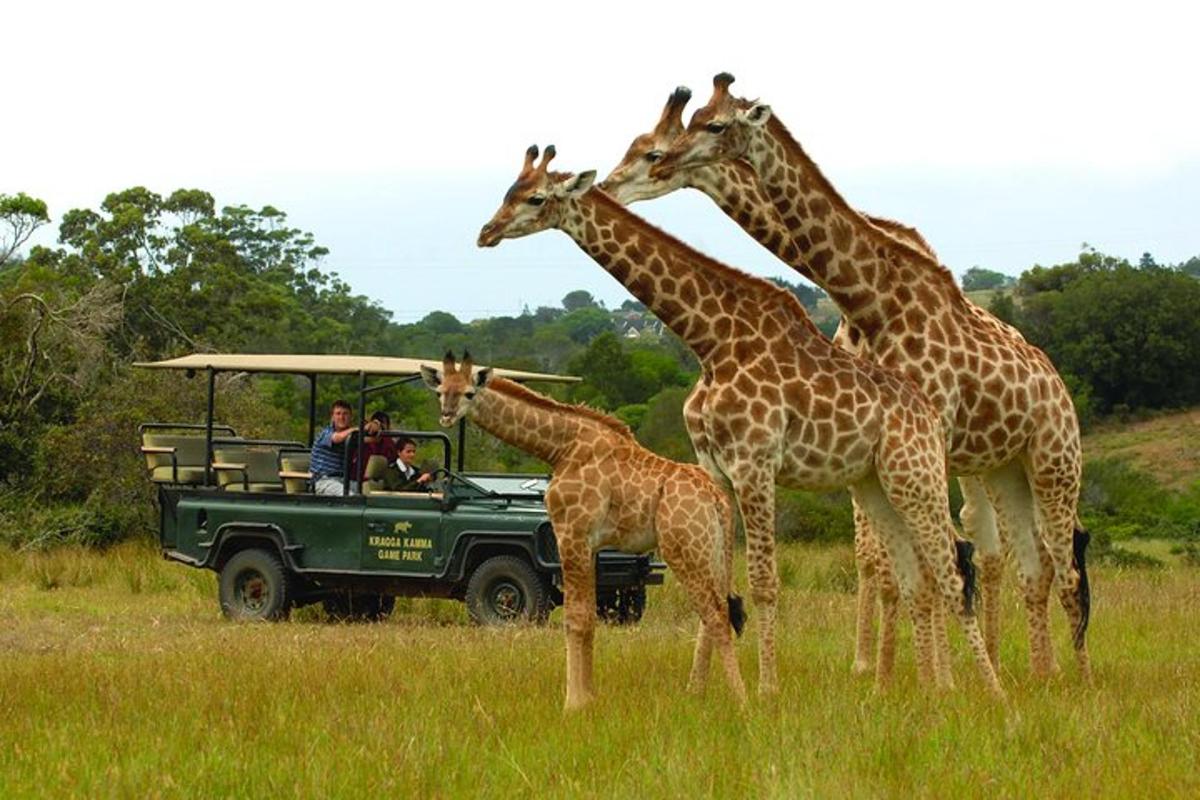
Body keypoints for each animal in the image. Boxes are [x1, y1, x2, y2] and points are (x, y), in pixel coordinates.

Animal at [417, 352, 744, 710]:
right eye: (440, 392)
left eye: (469, 393)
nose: (447, 415)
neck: (560, 447)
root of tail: (718, 499)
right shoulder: (591, 545)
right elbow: (589, 619)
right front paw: (589, 697)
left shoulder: (569, 532)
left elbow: (574, 619)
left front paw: (572, 703)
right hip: (713, 551)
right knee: (716, 613)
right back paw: (696, 693)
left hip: (684, 548)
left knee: (717, 615)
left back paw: (742, 699)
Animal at [475, 146, 1003, 695]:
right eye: (508, 190)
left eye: (535, 197)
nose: (486, 232)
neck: (712, 340)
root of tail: (930, 414)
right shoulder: (716, 471)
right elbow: (719, 583)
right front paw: (700, 690)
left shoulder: (755, 462)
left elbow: (764, 582)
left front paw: (766, 691)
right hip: (877, 483)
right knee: (921, 571)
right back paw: (926, 686)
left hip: (915, 478)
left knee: (951, 567)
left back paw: (985, 690)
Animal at [652, 71, 1094, 681]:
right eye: (685, 124)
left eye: (713, 125)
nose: (660, 162)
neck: (870, 300)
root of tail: (1058, 386)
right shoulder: (873, 440)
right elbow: (881, 557)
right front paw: (882, 672)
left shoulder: (914, 433)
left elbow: (923, 559)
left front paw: (914, 676)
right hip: (1000, 465)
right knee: (1023, 558)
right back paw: (1036, 672)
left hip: (1052, 461)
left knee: (1049, 559)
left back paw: (1072, 677)